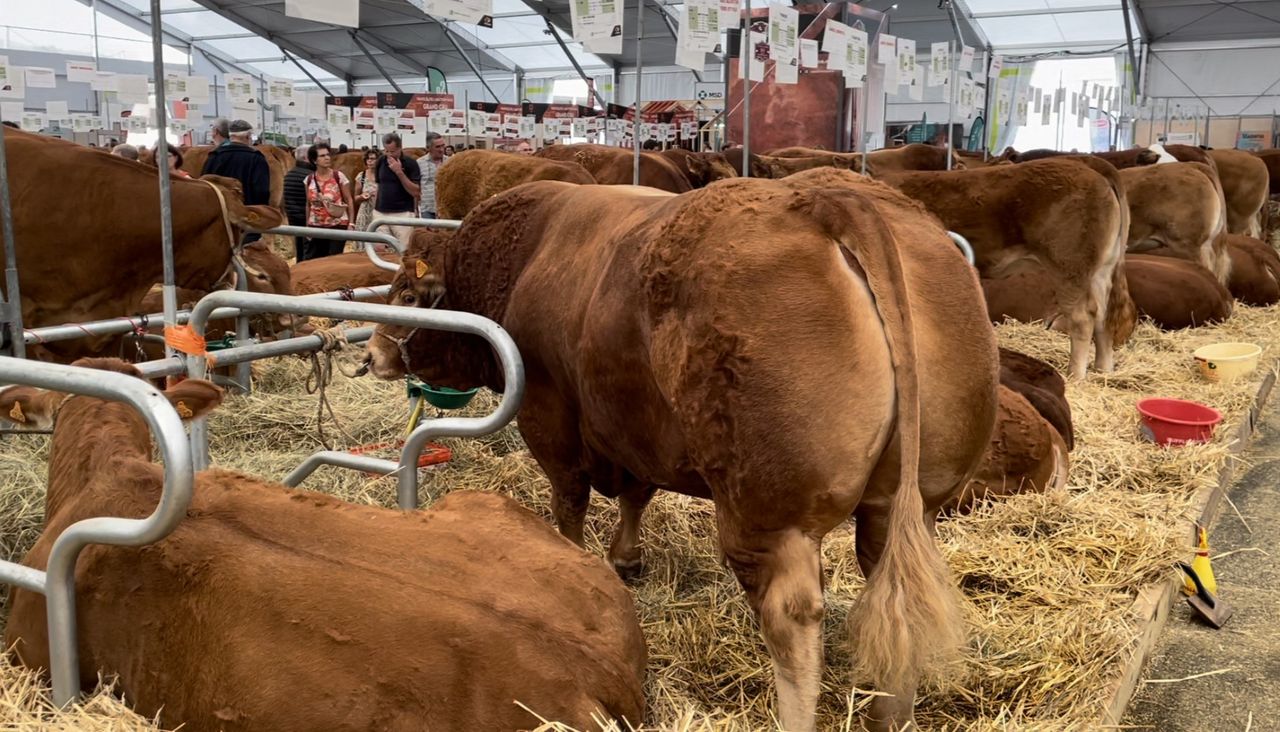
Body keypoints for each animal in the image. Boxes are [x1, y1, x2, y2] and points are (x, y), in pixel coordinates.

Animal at [360, 169, 1000, 731]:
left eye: (408, 294)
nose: (370, 354)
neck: (524, 258)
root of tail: (832, 200)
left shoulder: (549, 412)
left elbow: (569, 500)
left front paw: (574, 559)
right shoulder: (637, 426)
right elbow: (636, 495)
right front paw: (625, 561)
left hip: (767, 514)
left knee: (792, 618)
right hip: (906, 503)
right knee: (894, 598)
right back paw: (892, 715)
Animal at [878, 157, 1132, 378]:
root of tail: (1091, 166)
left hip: (1069, 267)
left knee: (1083, 317)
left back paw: (1075, 375)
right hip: (1100, 270)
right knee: (1103, 315)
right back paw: (1103, 369)